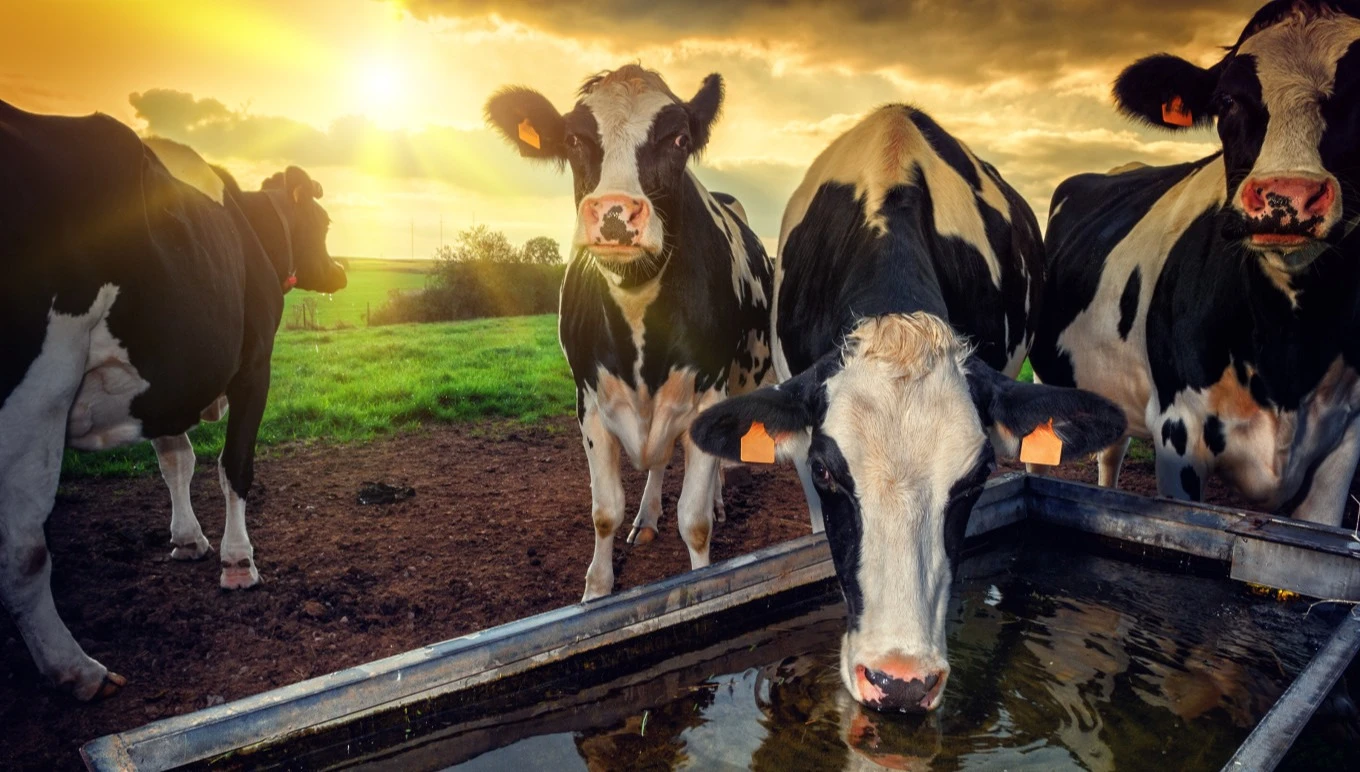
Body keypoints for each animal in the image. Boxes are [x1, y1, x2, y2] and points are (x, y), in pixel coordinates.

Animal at [0, 102, 345, 701]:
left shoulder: (166, 381)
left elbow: (175, 461)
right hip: (37, 392)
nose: (344, 272)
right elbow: (234, 465)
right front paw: (237, 562)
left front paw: (188, 540)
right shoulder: (254, 364)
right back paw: (80, 670)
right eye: (323, 224)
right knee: (24, 550)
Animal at [484, 64, 772, 603]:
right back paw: (648, 516)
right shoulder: (591, 402)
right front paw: (597, 590)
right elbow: (605, 512)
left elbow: (695, 521)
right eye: (574, 139)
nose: (616, 212)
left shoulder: (707, 394)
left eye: (679, 139)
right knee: (656, 464)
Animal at [1028, 0, 1360, 524]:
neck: (1287, 347)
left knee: (1112, 452)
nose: (1288, 196)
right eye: (1226, 101)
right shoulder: (1177, 430)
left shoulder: (1343, 447)